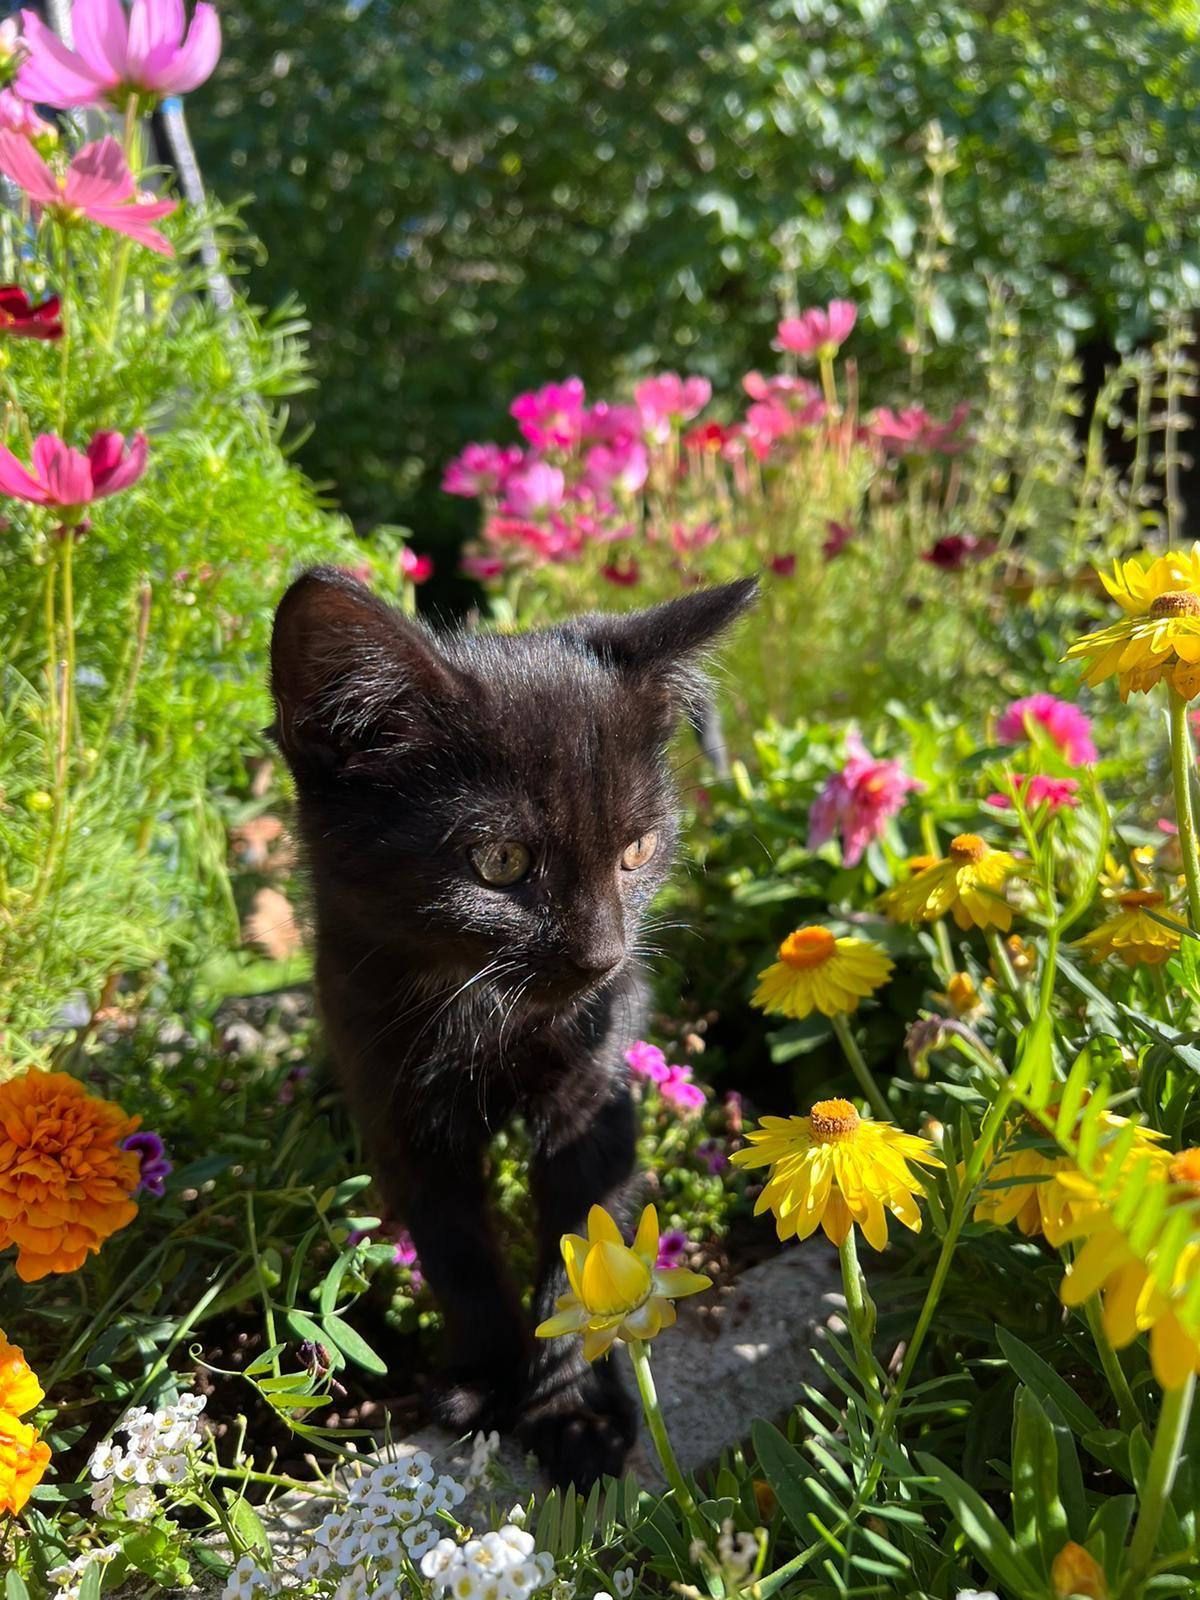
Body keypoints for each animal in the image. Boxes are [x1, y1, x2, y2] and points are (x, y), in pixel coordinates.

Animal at [269, 565, 755, 1488]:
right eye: (499, 863)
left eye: (638, 852)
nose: (605, 957)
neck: (481, 1017)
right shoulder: (391, 1095)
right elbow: (451, 1245)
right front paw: (486, 1378)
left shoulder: (594, 1089)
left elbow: (584, 1243)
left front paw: (571, 1408)